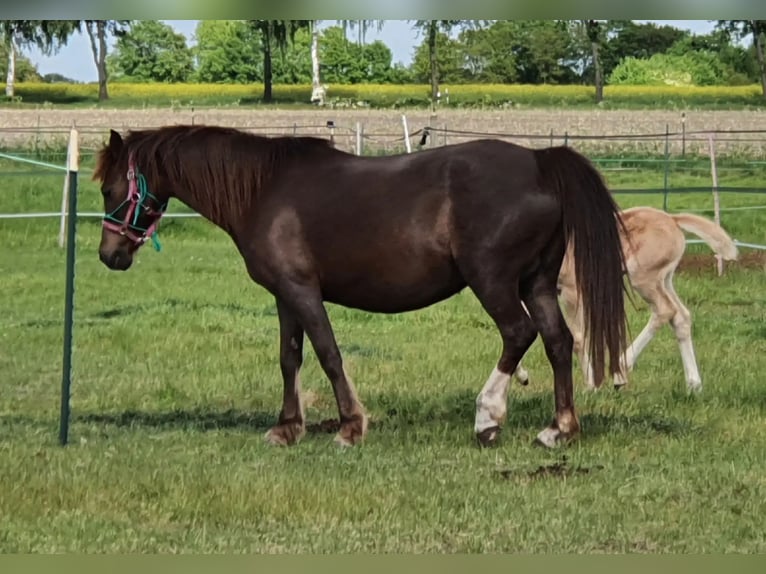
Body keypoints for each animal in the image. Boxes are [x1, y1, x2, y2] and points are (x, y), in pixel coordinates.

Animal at [93, 125, 629, 449]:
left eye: (109, 188)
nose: (109, 255)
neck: (264, 191)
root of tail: (539, 160)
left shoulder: (303, 291)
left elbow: (329, 354)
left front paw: (350, 427)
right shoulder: (283, 296)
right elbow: (290, 357)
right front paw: (287, 428)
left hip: (493, 281)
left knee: (519, 334)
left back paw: (488, 418)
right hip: (536, 282)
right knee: (558, 341)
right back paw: (558, 428)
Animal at [512, 206, 738, 391]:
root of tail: (672, 219)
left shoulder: (571, 289)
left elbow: (577, 337)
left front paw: (591, 385)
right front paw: (522, 376)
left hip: (643, 278)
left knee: (665, 310)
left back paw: (621, 370)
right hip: (664, 280)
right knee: (681, 317)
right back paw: (694, 384)